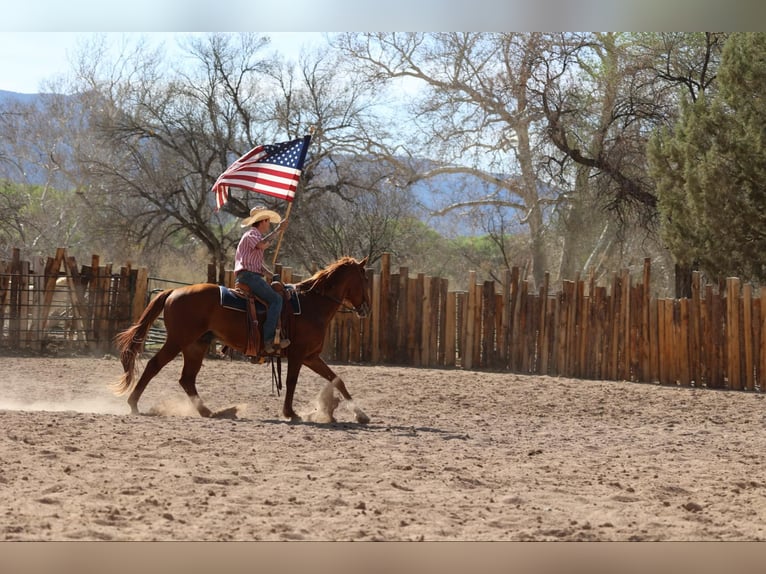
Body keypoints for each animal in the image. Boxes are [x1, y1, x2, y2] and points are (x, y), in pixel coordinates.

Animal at [112, 256, 371, 423]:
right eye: (365, 280)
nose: (366, 309)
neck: (311, 305)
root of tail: (173, 291)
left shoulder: (311, 356)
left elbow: (337, 379)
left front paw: (361, 414)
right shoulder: (298, 355)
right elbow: (291, 382)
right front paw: (290, 413)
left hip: (196, 346)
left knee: (187, 379)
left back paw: (209, 412)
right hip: (177, 341)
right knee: (154, 365)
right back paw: (133, 404)